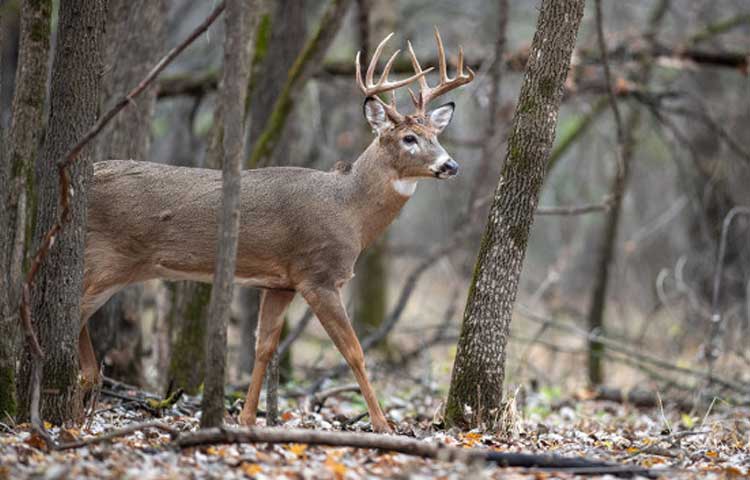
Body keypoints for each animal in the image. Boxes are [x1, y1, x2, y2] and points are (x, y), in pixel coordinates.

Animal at [79, 28, 474, 433]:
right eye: (409, 138)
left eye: (435, 134)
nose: (451, 165)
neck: (348, 210)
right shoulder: (317, 275)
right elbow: (354, 351)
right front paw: (383, 424)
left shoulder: (280, 283)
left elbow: (264, 347)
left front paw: (247, 418)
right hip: (106, 257)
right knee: (73, 311)